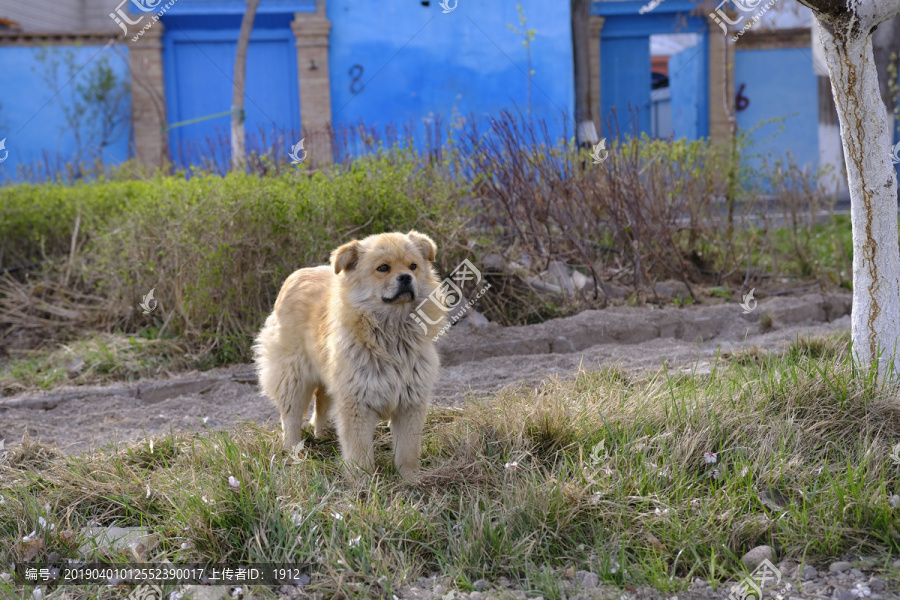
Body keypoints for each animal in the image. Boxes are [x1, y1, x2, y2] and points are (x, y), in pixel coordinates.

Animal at [251, 230, 448, 478]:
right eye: (383, 268)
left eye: (413, 266)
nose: (406, 277)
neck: (391, 334)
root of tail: (296, 275)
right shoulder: (356, 403)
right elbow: (359, 451)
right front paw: (363, 481)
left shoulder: (411, 402)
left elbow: (407, 450)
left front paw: (410, 479)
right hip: (293, 378)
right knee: (291, 417)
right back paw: (294, 453)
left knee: (321, 403)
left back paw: (322, 434)